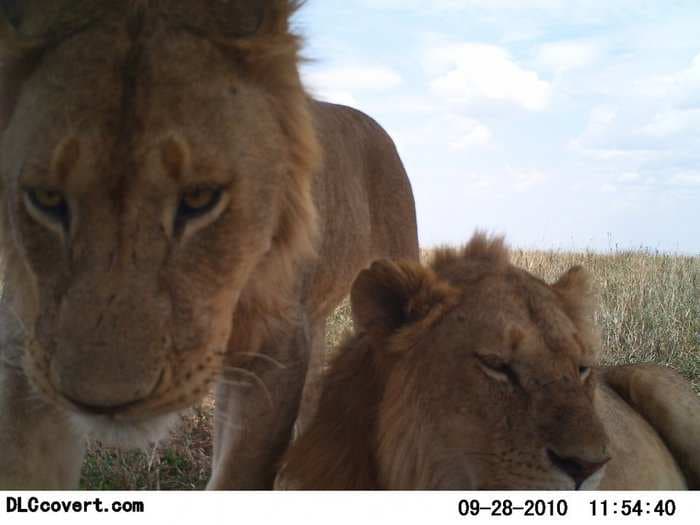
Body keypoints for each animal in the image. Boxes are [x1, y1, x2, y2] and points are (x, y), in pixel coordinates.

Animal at [0, 2, 416, 490]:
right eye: (46, 197)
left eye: (201, 197)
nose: (103, 403)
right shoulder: (24, 349)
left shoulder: (276, 350)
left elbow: (237, 477)